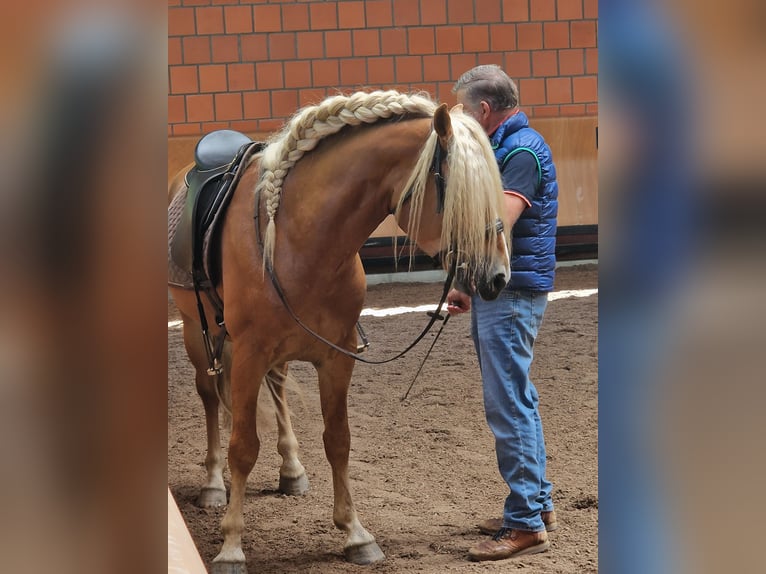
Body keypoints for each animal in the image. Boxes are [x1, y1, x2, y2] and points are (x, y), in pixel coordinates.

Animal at [170, 89, 512, 572]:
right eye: (459, 192)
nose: (499, 276)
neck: (300, 240)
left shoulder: (336, 357)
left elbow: (338, 441)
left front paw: (355, 533)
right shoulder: (250, 353)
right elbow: (243, 446)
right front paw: (232, 545)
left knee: (277, 389)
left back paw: (292, 470)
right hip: (196, 336)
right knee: (209, 398)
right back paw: (215, 485)